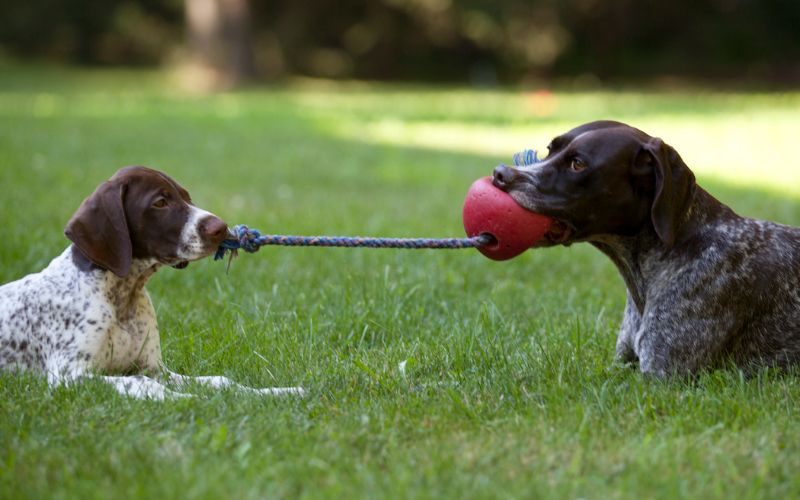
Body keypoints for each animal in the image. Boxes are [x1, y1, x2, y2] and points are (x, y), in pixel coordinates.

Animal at [0, 167, 304, 398]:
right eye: (160, 203)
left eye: (186, 197)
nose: (221, 228)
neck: (122, 295)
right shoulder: (69, 376)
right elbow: (146, 386)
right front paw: (191, 400)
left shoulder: (155, 368)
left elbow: (221, 381)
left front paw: (278, 392)